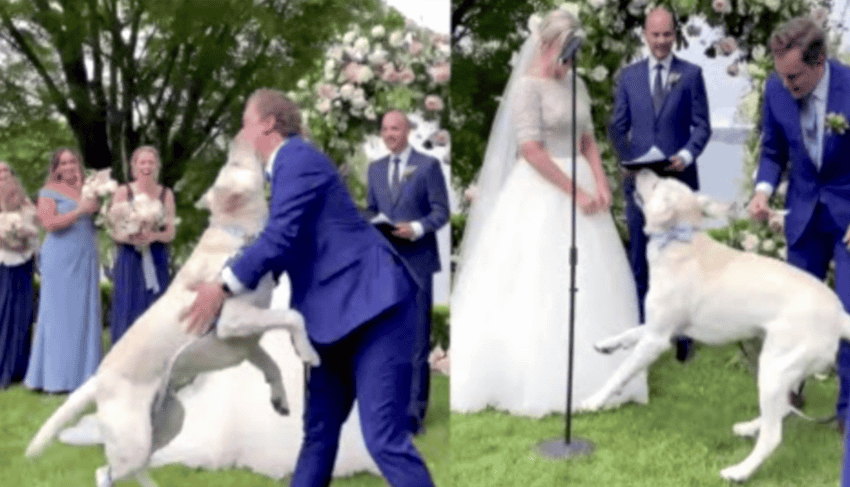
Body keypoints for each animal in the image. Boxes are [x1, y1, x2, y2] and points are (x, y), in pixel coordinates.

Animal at [25, 133, 321, 487]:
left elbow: (272, 365)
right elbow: (293, 316)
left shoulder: (245, 344)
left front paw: (281, 399)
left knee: (136, 467)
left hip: (169, 419)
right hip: (133, 439)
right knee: (107, 472)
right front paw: (308, 352)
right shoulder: (233, 322)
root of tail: (98, 379)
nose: (239, 135)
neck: (236, 234)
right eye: (234, 162)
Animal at [578, 169, 850, 482]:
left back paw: (740, 471)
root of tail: (839, 314)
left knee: (773, 435)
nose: (642, 170)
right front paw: (606, 344)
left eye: (657, 184)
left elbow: (621, 372)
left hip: (774, 368)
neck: (678, 239)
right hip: (783, 366)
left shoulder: (658, 338)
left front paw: (594, 401)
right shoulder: (664, 329)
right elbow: (631, 333)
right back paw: (750, 427)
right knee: (784, 408)